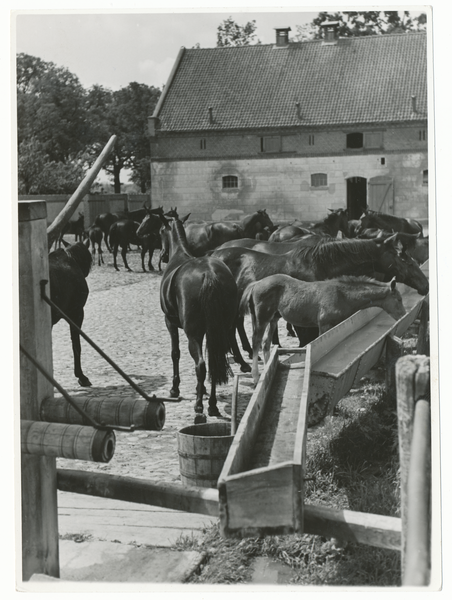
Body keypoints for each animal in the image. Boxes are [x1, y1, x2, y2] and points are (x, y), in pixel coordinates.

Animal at [159, 214, 238, 418]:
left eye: (160, 231)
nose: (162, 254)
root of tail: (209, 273)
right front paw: (199, 389)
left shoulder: (170, 322)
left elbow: (175, 353)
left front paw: (175, 388)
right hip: (218, 331)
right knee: (213, 363)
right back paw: (212, 404)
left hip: (193, 333)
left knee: (201, 365)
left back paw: (200, 406)